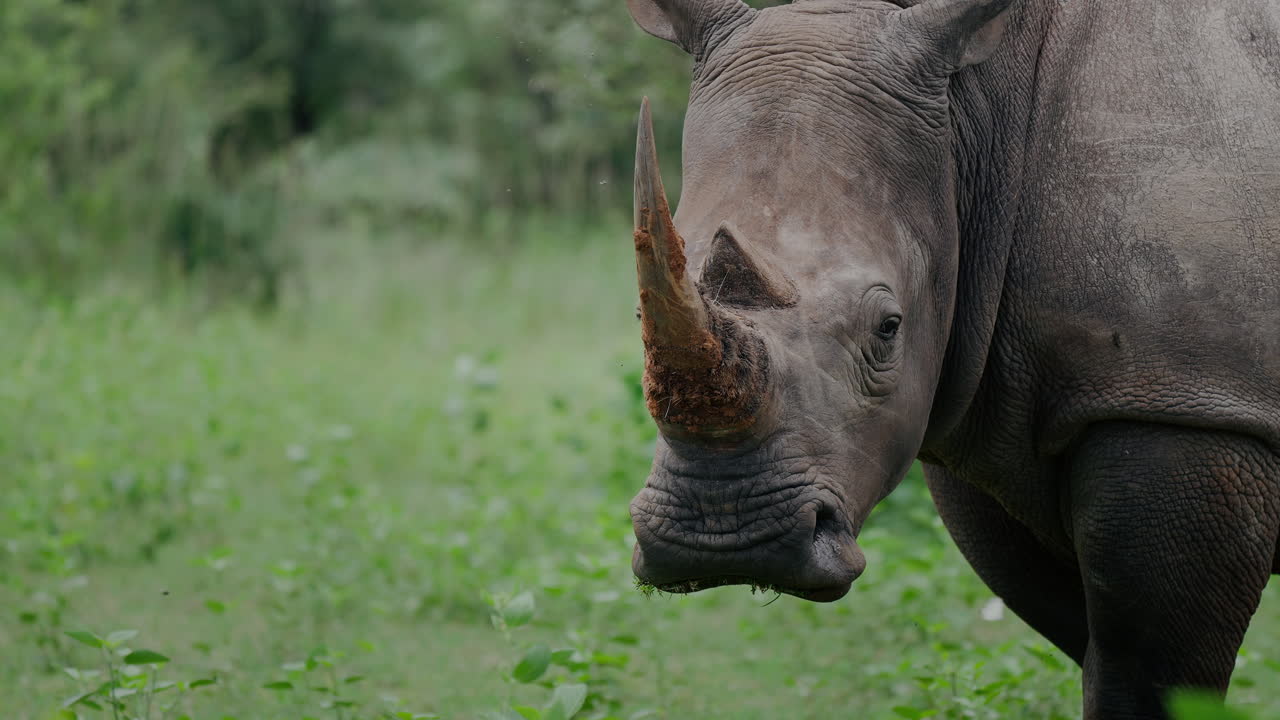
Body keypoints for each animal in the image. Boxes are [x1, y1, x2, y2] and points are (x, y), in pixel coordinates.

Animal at [620, 0, 1280, 716]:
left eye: (888, 329)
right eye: (638, 316)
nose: (726, 536)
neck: (971, 121)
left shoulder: (1181, 401)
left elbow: (1149, 673)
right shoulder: (990, 421)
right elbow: (1093, 646)